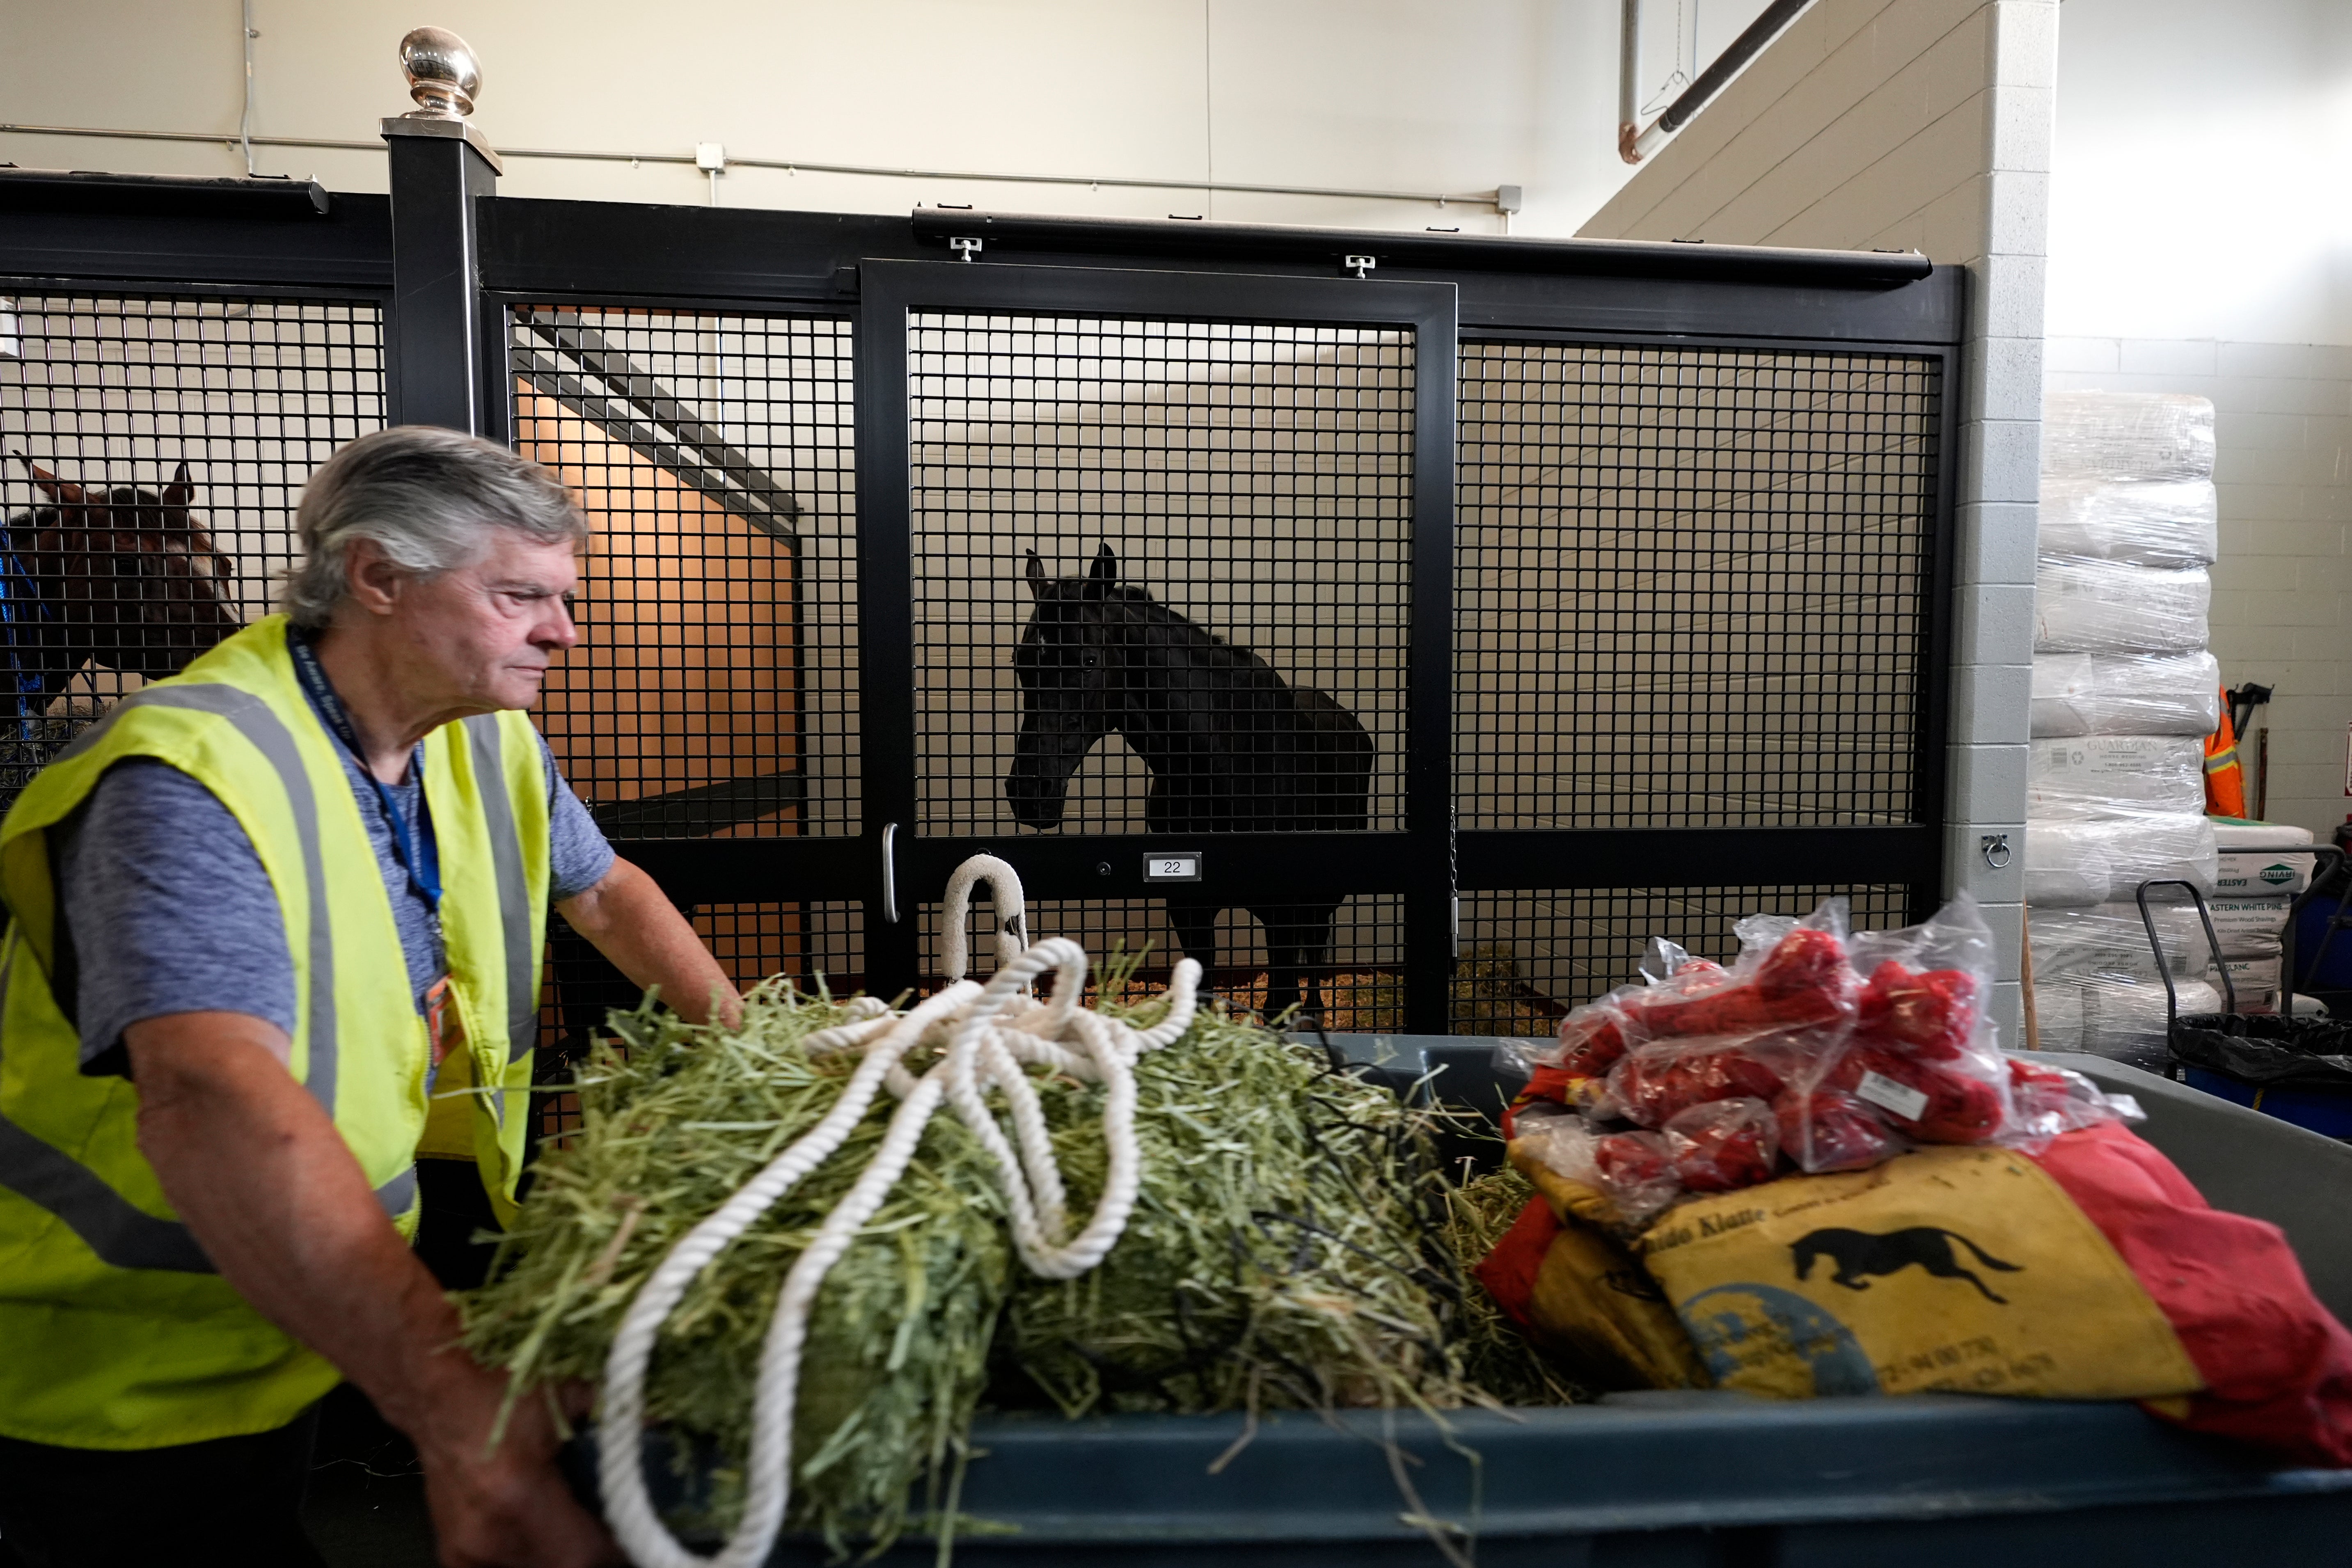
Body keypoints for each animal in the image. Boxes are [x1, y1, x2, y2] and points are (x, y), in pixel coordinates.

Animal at [997, 545, 1373, 1025]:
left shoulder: (1283, 911)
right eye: (1021, 661)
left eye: (1087, 659)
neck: (1227, 761)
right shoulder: (1189, 909)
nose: (1030, 793)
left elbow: (1278, 1002)